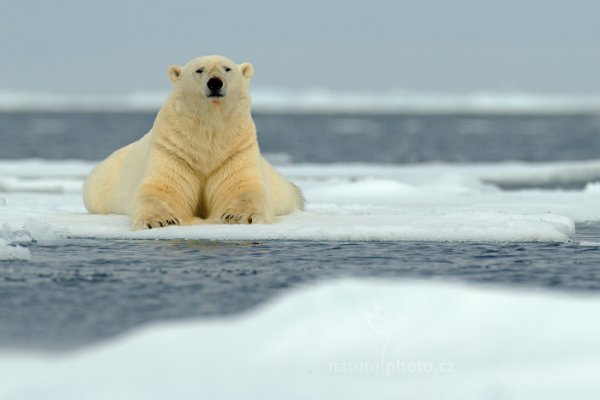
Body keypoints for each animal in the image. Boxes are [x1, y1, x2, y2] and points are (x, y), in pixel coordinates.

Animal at [83, 56, 304, 231]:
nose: (215, 82)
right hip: (101, 184)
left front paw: (238, 216)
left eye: (227, 68)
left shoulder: (236, 149)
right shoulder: (173, 149)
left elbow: (243, 187)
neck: (208, 129)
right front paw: (160, 221)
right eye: (199, 70)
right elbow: (161, 189)